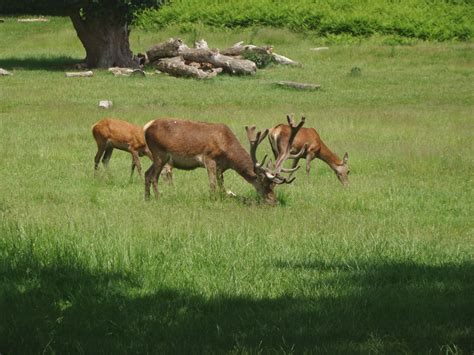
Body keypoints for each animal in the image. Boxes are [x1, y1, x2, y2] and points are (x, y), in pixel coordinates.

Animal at [144, 117, 306, 206]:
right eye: (265, 184)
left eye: (274, 185)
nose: (273, 202)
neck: (228, 153)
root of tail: (146, 127)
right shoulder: (209, 158)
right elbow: (213, 185)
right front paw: (213, 200)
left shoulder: (221, 167)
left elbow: (223, 188)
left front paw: (234, 197)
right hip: (159, 153)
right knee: (154, 177)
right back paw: (158, 198)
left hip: (157, 156)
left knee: (147, 174)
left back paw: (147, 198)